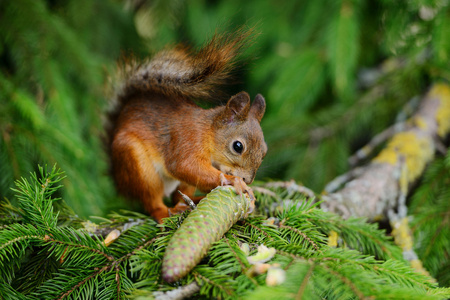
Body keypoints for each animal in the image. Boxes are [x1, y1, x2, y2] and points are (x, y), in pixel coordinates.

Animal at [107, 30, 266, 223]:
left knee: (179, 196)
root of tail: (118, 178)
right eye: (237, 146)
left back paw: (194, 201)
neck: (208, 132)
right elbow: (185, 166)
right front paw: (233, 181)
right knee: (152, 201)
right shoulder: (188, 139)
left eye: (264, 152)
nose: (248, 179)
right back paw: (164, 212)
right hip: (138, 166)